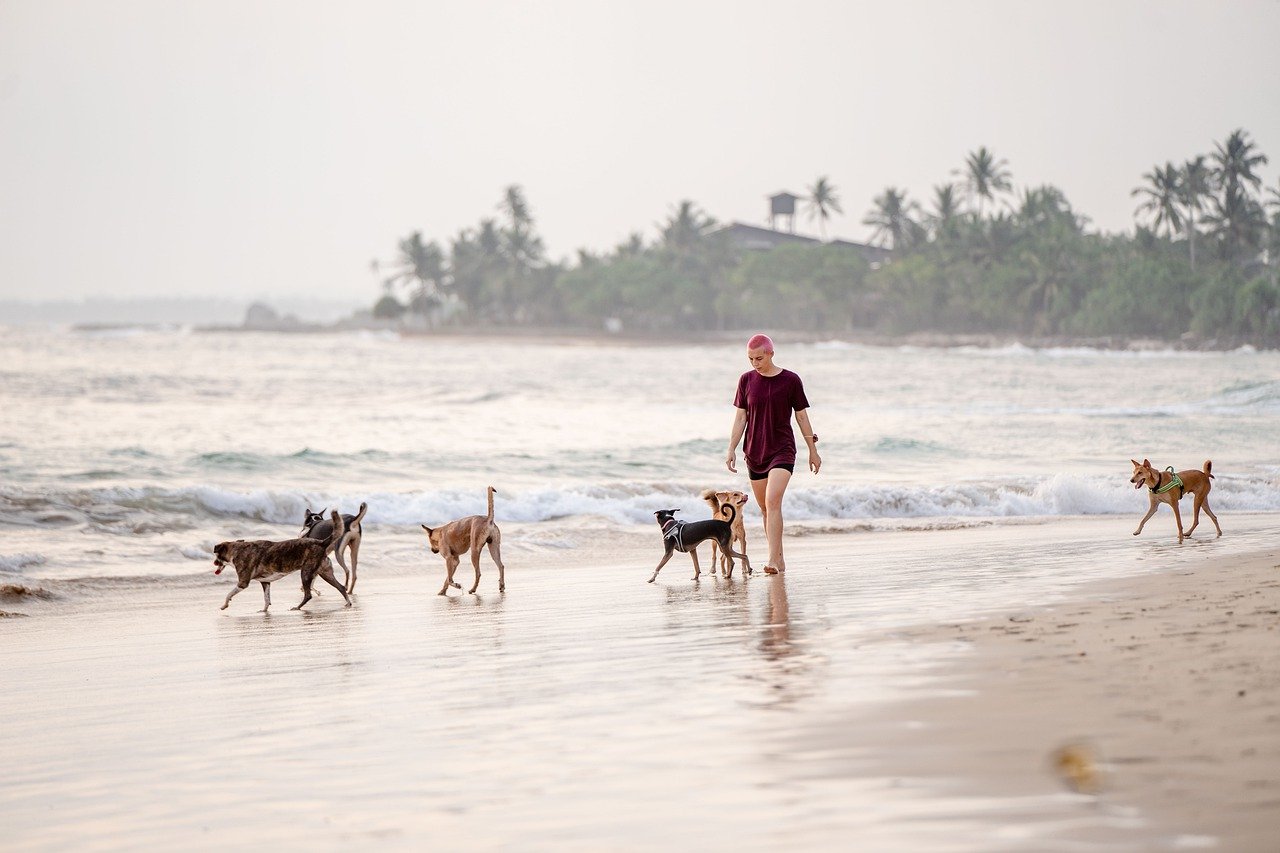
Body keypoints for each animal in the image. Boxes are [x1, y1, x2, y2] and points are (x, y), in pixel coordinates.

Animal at [215, 507, 353, 607]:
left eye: (216, 555)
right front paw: (264, 611)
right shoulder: (265, 582)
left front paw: (224, 605)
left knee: (308, 595)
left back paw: (298, 607)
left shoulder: (243, 583)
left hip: (306, 573)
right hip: (325, 573)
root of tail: (322, 543)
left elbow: (229, 594)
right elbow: (267, 599)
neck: (238, 549)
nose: (214, 563)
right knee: (341, 587)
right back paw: (348, 602)